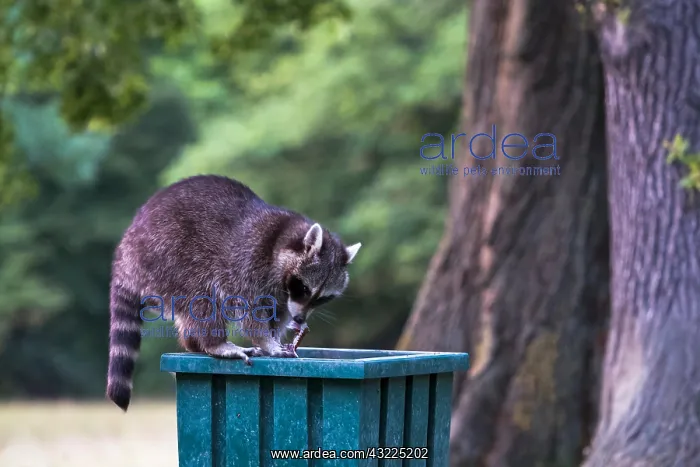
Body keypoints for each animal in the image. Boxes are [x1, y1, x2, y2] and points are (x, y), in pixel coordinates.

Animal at [106, 175, 361, 411]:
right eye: (305, 288)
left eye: (322, 298)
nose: (300, 319)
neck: (282, 239)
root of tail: (129, 244)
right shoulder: (249, 263)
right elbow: (250, 313)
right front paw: (268, 342)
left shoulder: (283, 295)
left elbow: (278, 314)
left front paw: (275, 337)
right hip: (169, 255)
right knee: (202, 297)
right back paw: (215, 344)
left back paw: (194, 343)